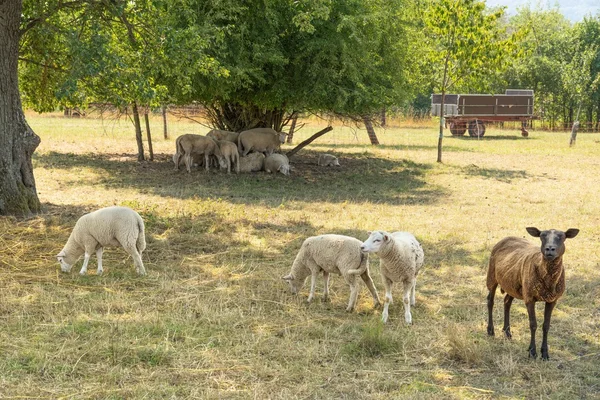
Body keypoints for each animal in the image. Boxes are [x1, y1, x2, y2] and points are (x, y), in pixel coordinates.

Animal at [488, 227, 580, 360]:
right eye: (542, 236)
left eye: (562, 237)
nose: (549, 249)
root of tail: (507, 237)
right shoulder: (530, 298)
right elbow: (533, 324)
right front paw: (532, 352)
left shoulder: (552, 300)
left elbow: (546, 325)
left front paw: (545, 353)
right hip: (492, 275)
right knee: (490, 301)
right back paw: (490, 331)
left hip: (513, 285)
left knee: (507, 302)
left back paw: (507, 332)